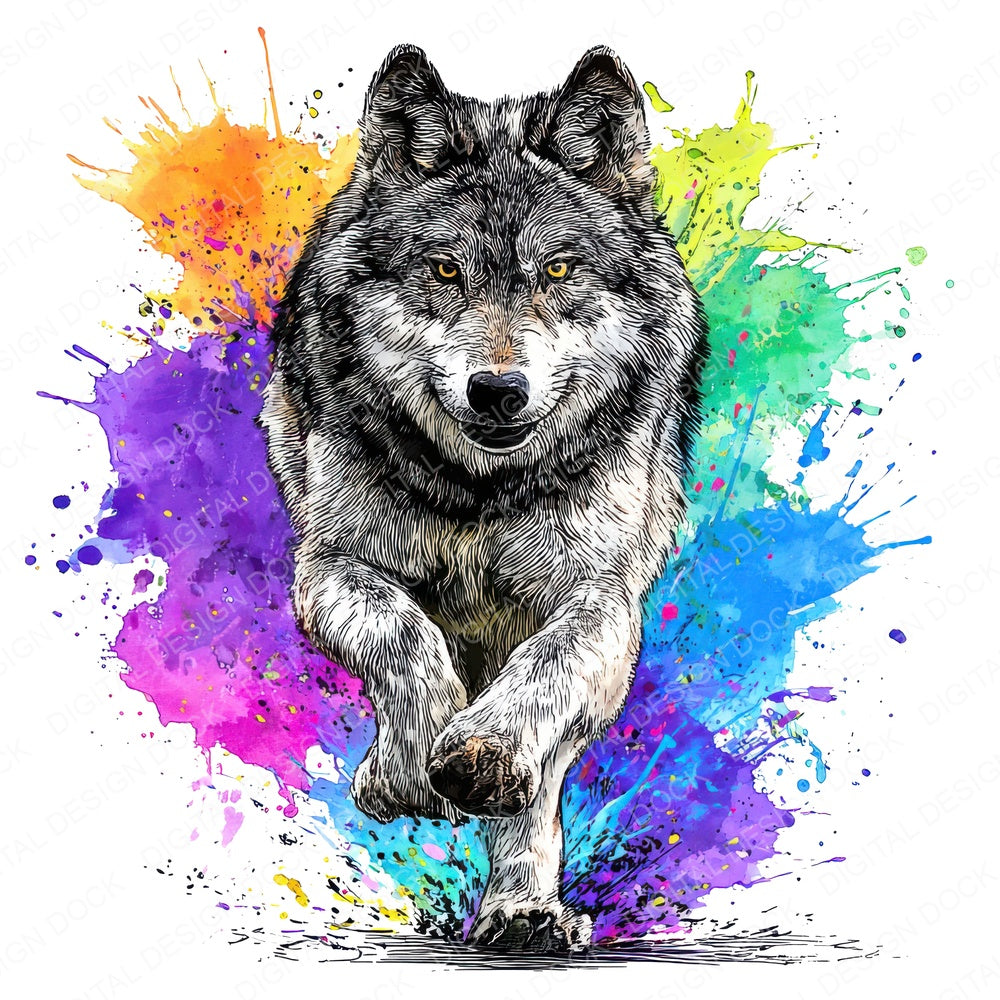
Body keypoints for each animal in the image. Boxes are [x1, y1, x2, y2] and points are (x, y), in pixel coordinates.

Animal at [260, 43, 708, 951]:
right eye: (445, 270)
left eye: (558, 271)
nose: (497, 390)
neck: (479, 491)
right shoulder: (331, 567)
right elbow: (403, 637)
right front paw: (404, 774)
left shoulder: (600, 600)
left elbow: (544, 679)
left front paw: (480, 757)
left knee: (539, 776)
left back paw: (522, 910)